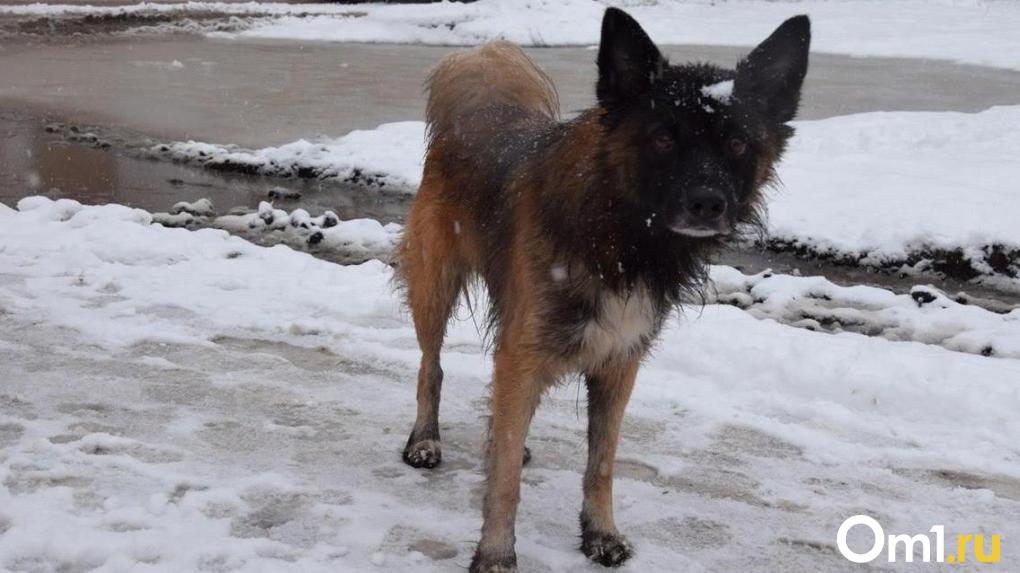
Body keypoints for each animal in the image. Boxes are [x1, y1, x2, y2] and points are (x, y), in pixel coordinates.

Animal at [393, 6, 807, 566]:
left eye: (737, 143)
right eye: (662, 138)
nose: (707, 203)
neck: (623, 235)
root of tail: (478, 114)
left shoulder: (619, 363)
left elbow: (602, 463)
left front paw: (601, 533)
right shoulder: (527, 349)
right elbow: (505, 481)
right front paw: (496, 553)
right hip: (435, 286)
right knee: (431, 365)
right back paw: (425, 440)